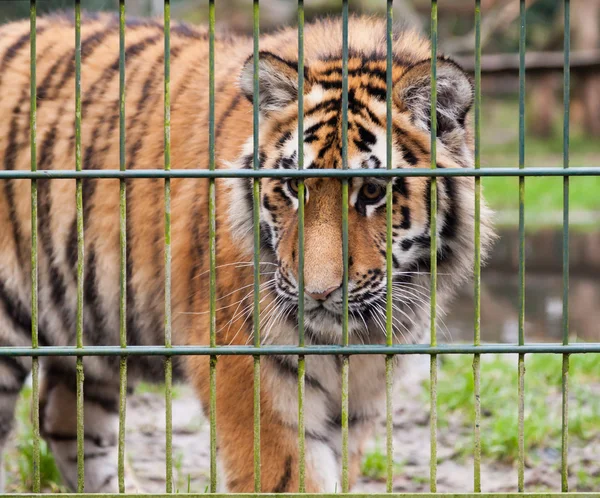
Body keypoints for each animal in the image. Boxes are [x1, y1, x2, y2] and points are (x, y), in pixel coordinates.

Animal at [0, 11, 494, 494]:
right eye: (293, 186)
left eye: (372, 191)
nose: (318, 292)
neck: (356, 338)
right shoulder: (252, 375)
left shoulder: (362, 397)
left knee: (65, 422)